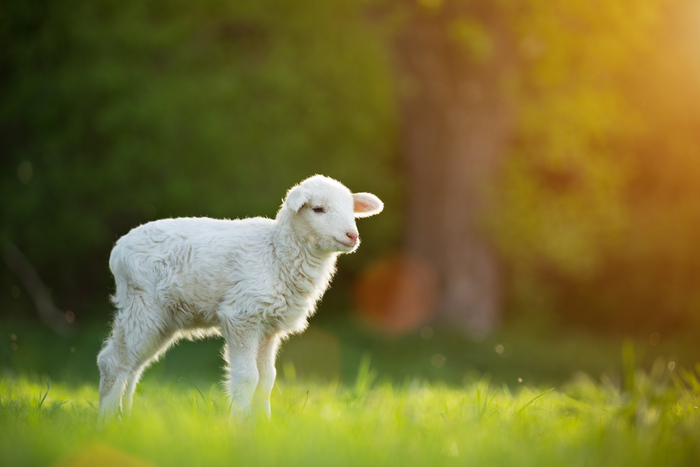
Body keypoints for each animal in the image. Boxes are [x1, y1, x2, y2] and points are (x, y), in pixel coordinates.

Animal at [95, 176, 382, 424]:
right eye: (318, 209)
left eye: (351, 209)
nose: (352, 236)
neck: (276, 252)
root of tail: (118, 249)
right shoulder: (242, 315)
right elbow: (247, 377)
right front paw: (239, 424)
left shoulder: (269, 327)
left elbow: (267, 379)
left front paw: (264, 424)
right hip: (142, 304)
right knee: (113, 363)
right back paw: (107, 422)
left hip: (163, 318)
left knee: (133, 366)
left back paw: (125, 418)